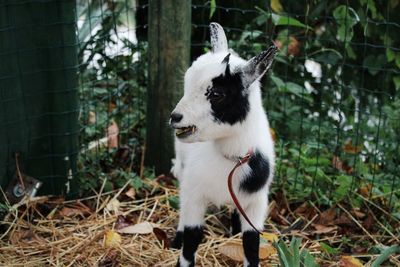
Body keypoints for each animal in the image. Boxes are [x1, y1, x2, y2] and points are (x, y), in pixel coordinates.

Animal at [168, 22, 276, 267]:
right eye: (186, 83)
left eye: (217, 94)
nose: (175, 117)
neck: (229, 159)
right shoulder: (195, 193)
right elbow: (192, 238)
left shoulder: (257, 202)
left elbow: (251, 243)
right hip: (183, 167)